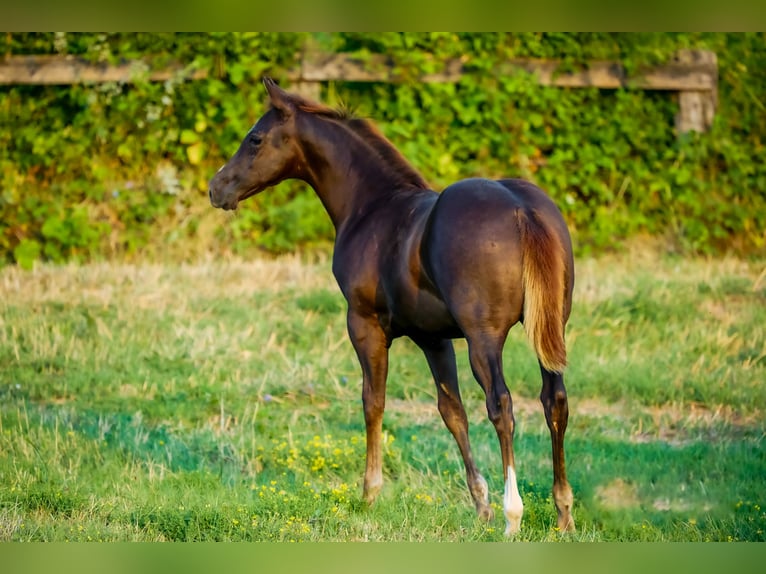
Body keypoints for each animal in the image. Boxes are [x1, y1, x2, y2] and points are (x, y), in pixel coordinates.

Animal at [210, 76, 576, 536]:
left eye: (255, 138)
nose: (217, 188)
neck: (372, 207)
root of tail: (522, 208)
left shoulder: (364, 324)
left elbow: (373, 401)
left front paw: (369, 494)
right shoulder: (433, 337)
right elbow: (451, 411)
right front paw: (480, 505)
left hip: (484, 337)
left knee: (502, 405)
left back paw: (514, 516)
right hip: (550, 329)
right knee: (554, 400)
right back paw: (563, 513)